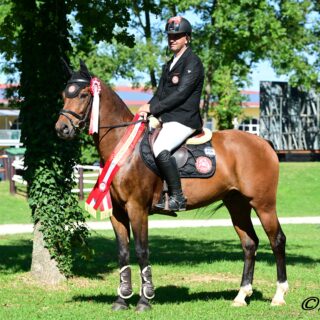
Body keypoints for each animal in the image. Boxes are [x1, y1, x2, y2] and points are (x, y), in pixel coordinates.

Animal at [55, 61, 290, 312]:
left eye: (82, 94)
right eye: (64, 95)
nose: (62, 129)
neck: (124, 147)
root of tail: (263, 142)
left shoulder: (137, 209)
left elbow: (142, 250)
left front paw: (144, 300)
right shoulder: (117, 212)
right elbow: (122, 252)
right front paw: (121, 300)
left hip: (263, 204)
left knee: (277, 240)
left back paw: (279, 295)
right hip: (236, 204)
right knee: (249, 243)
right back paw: (241, 295)